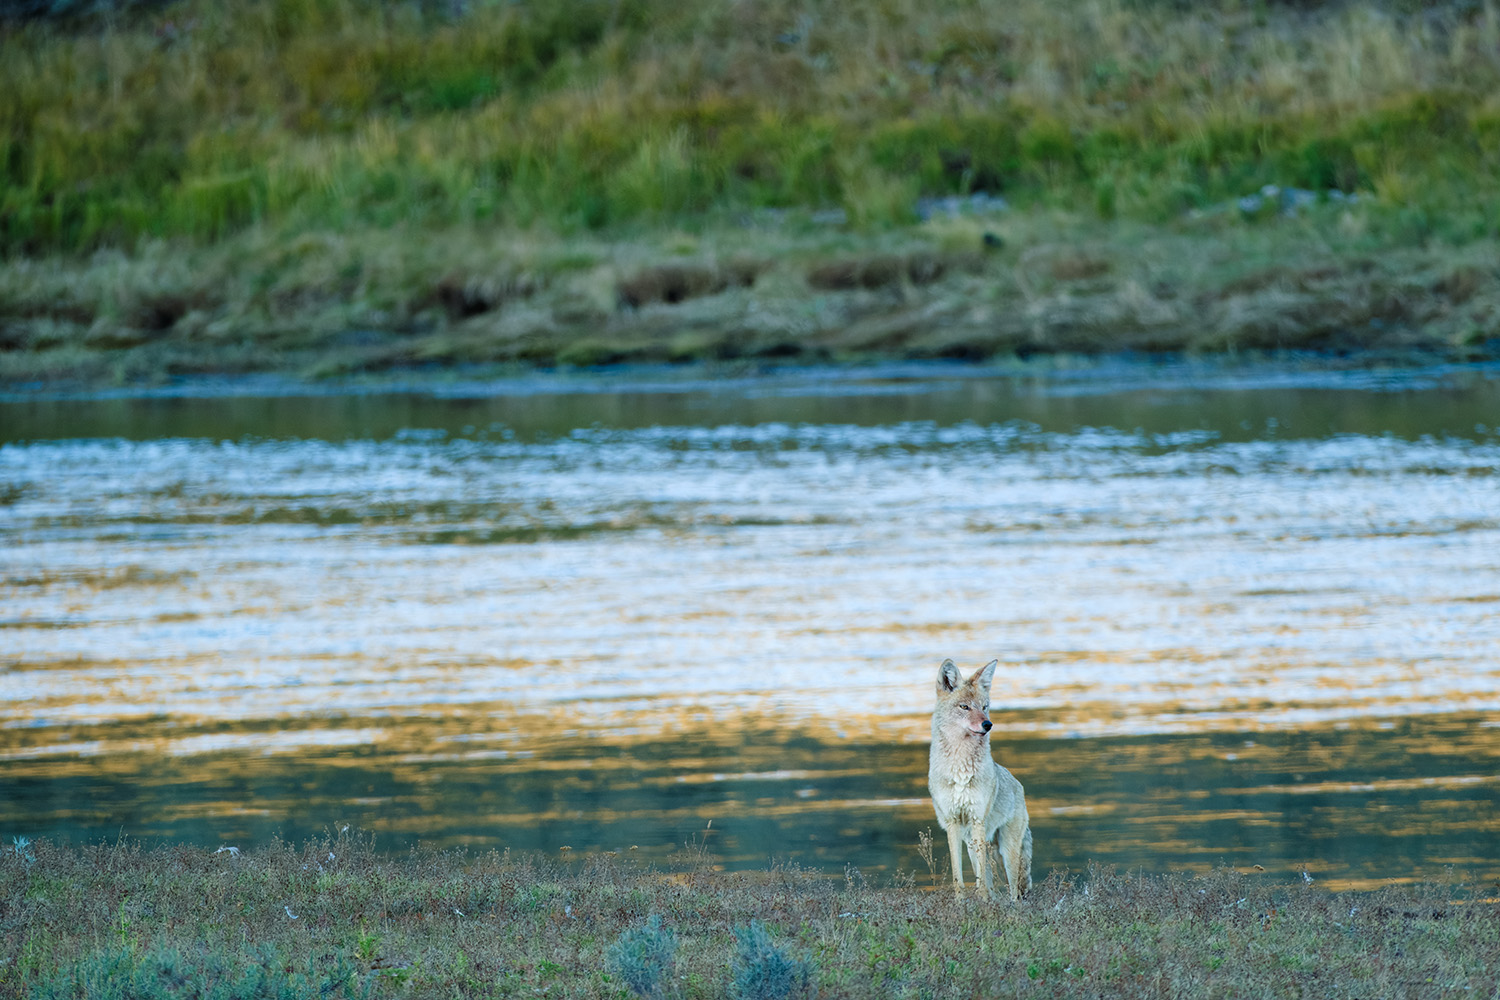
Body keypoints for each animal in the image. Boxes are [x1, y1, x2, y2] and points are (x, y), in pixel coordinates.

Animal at [924, 659, 1032, 905]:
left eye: (984, 706)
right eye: (964, 707)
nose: (988, 724)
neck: (960, 769)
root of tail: (1018, 784)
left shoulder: (977, 820)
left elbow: (981, 880)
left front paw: (981, 904)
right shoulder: (952, 823)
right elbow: (959, 876)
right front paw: (960, 904)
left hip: (1006, 852)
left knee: (1014, 890)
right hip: (974, 846)